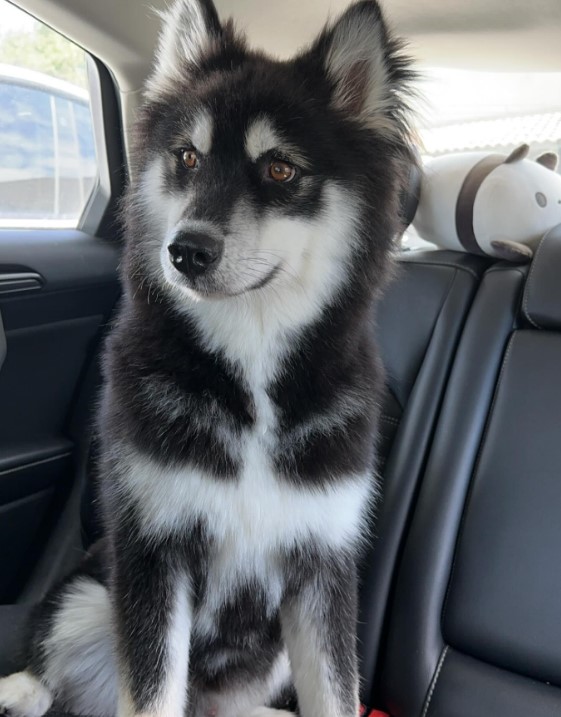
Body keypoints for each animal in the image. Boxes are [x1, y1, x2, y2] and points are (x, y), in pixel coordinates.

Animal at [0, 1, 412, 716]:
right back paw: (16, 688)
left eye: (279, 169)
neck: (252, 370)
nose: (185, 251)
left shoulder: (323, 566)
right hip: (88, 592)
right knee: (52, 664)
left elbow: (336, 693)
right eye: (187, 158)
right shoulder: (152, 553)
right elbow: (150, 693)